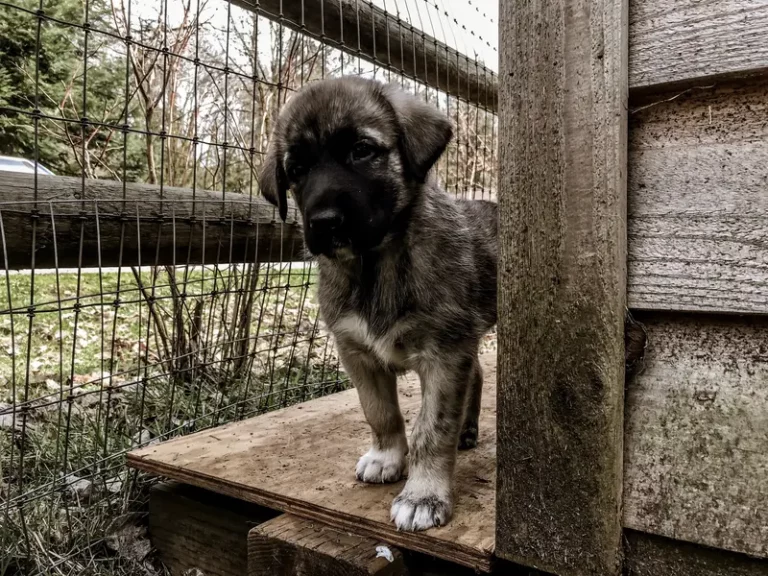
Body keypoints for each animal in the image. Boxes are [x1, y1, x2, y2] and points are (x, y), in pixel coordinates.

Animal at [260, 76, 498, 532]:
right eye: (296, 171)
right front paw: (387, 458)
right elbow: (380, 412)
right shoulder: (357, 353)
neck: (374, 267)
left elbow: (432, 429)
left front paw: (423, 495)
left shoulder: (443, 355)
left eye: (362, 150)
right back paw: (468, 429)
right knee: (476, 372)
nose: (324, 223)